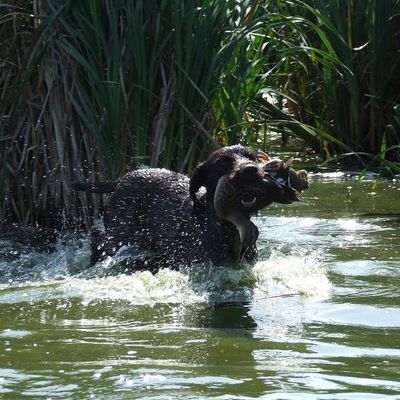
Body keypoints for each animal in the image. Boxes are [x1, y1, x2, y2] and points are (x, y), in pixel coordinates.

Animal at [72, 145, 310, 272]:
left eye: (251, 157)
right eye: (222, 162)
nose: (250, 170)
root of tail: (122, 179)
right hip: (120, 237)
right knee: (98, 239)